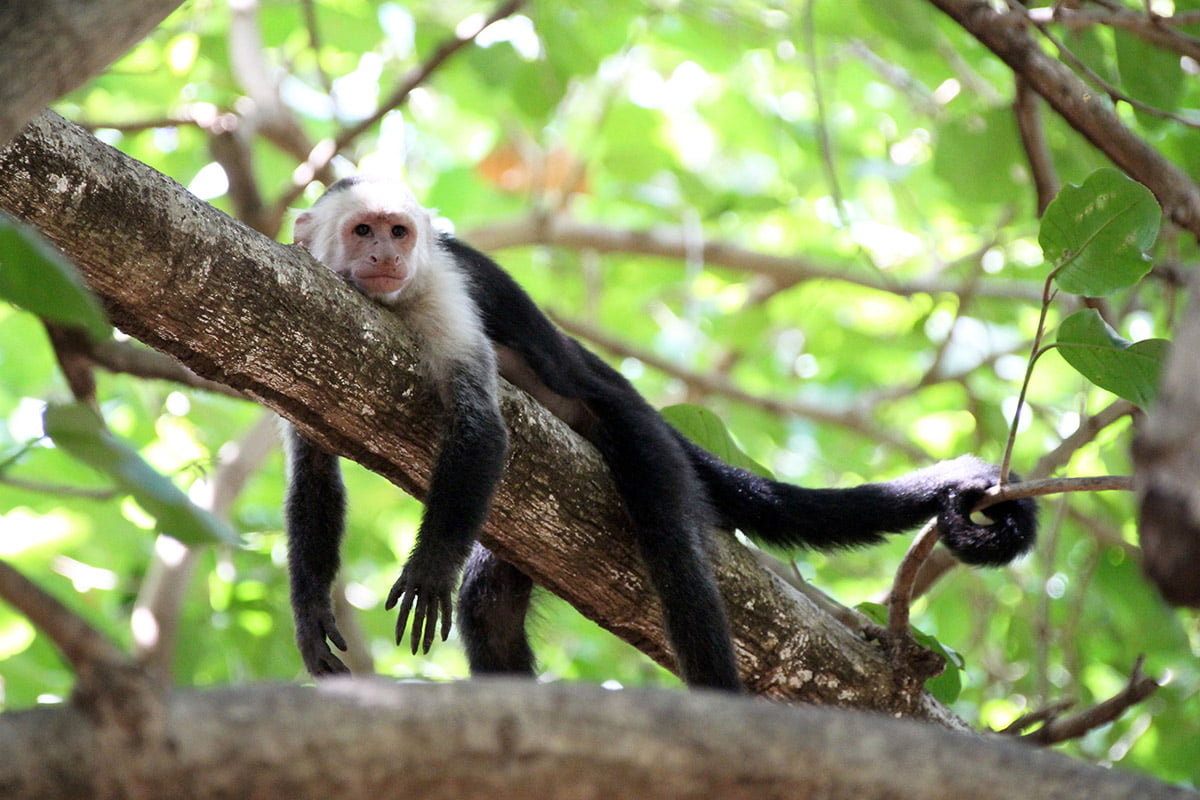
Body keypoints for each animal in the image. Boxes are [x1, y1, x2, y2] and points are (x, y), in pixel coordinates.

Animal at [285, 174, 1037, 691]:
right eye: (362, 232)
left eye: (399, 232)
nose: (385, 255)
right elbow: (314, 471)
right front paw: (311, 611)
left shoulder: (440, 290)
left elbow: (481, 426)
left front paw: (429, 568)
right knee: (491, 606)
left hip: (636, 437)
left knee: (676, 561)